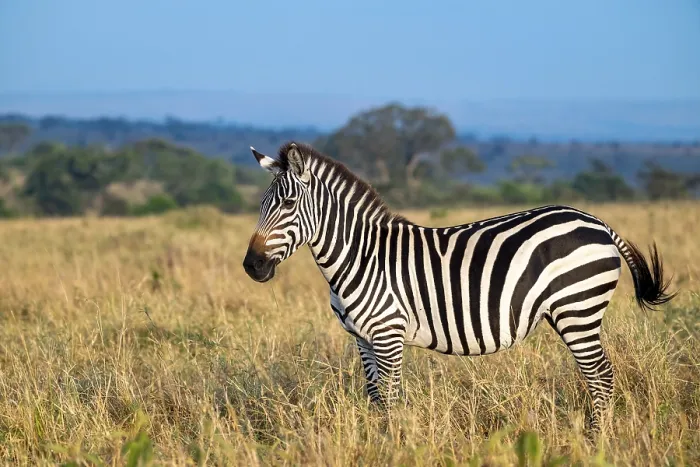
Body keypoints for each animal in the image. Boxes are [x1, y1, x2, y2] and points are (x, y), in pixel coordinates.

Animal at [242, 141, 675, 433]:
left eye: (288, 205)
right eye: (260, 206)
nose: (252, 266)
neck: (360, 256)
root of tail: (597, 222)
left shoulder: (388, 334)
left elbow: (392, 396)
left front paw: (394, 442)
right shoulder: (362, 338)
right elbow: (376, 396)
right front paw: (380, 438)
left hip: (578, 310)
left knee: (601, 377)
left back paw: (595, 441)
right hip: (574, 311)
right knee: (600, 376)